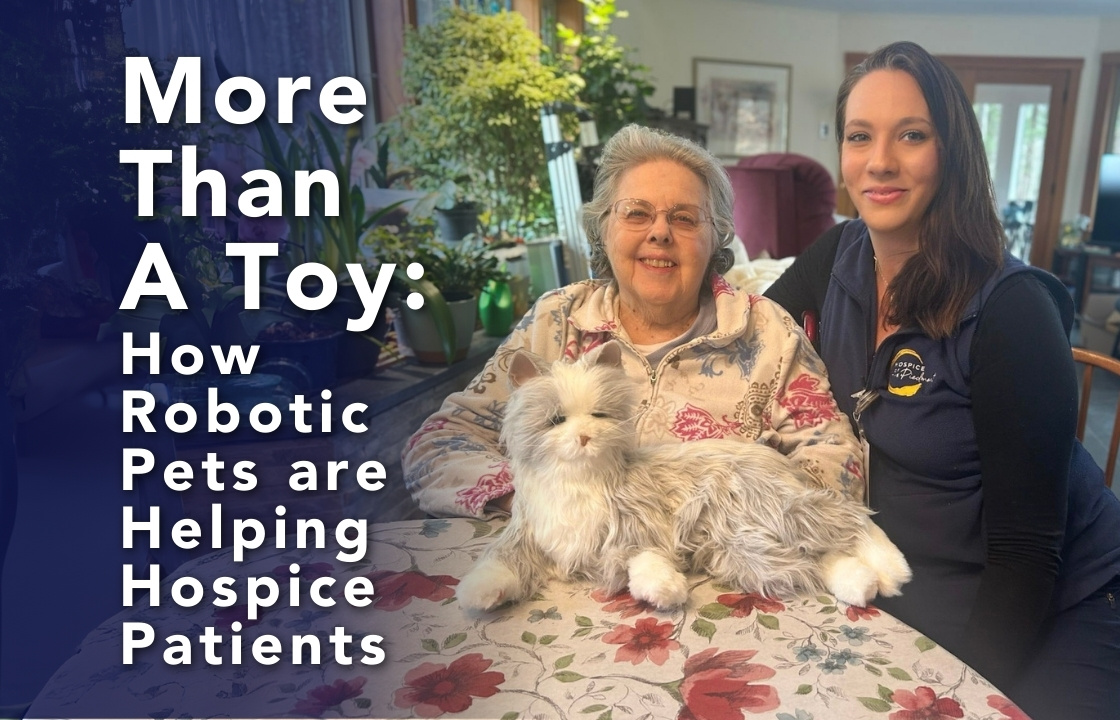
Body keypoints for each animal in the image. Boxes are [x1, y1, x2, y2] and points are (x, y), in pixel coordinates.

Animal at [454, 342, 909, 613]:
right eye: (555, 421)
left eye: (598, 415)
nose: (583, 437)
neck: (579, 480)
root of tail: (776, 462)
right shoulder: (531, 534)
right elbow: (502, 559)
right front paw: (480, 592)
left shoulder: (639, 525)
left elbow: (646, 561)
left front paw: (665, 591)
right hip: (747, 548)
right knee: (822, 558)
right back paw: (864, 585)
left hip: (781, 511)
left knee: (854, 521)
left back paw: (895, 569)